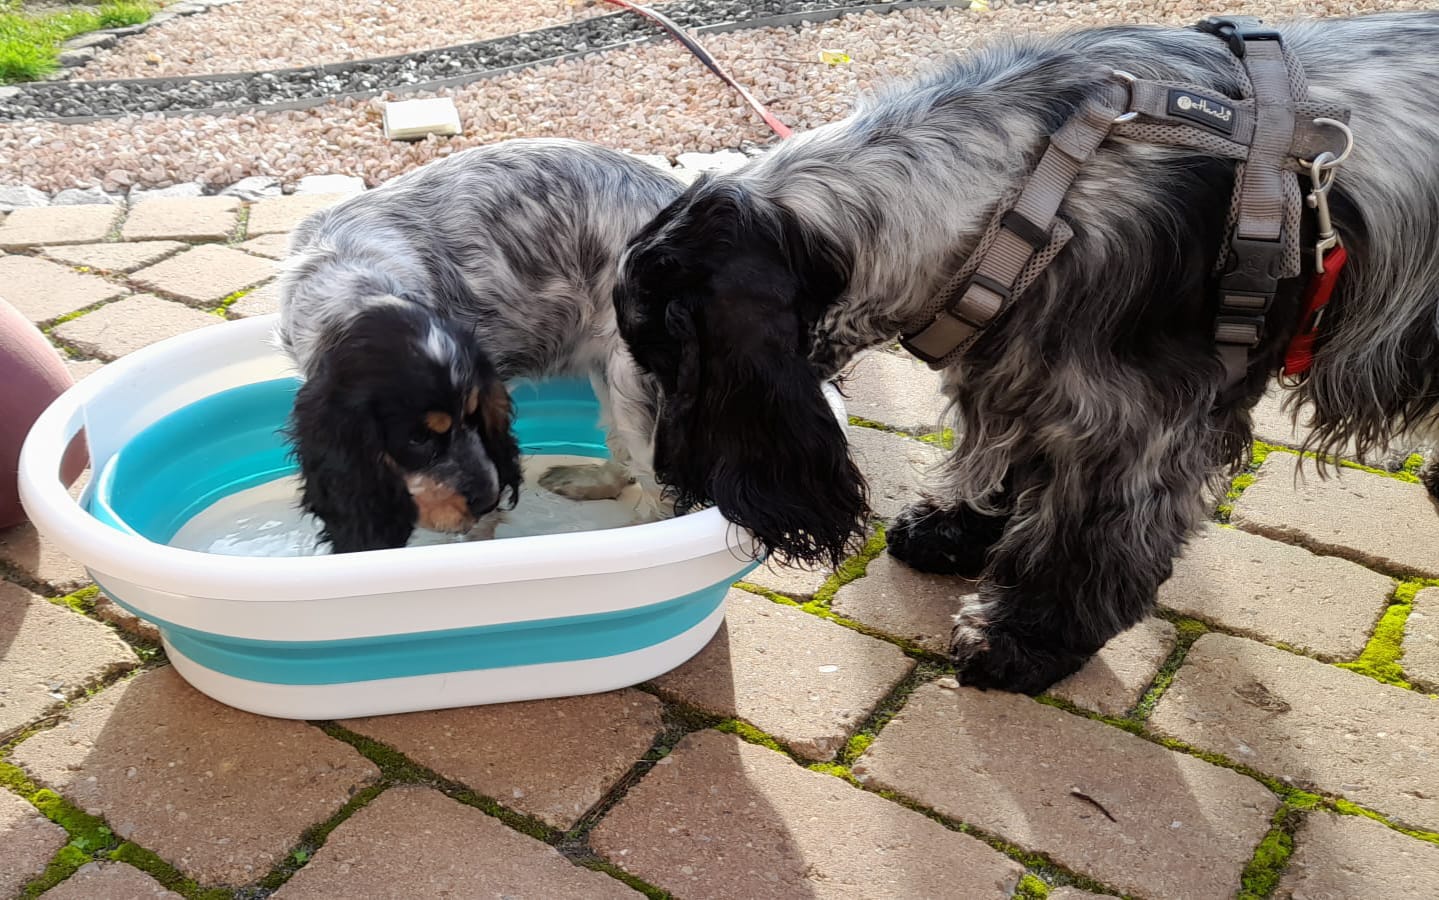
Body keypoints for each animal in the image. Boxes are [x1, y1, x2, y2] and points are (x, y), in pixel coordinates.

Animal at [277, 138, 684, 553]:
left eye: (473, 417)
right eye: (418, 438)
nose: (489, 498)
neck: (352, 280)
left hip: (633, 382)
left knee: (657, 488)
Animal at [614, 12, 1439, 693]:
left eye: (663, 352)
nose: (669, 477)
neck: (1022, 193)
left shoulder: (1133, 420)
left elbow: (1088, 535)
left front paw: (1024, 637)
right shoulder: (1025, 366)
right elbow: (1011, 461)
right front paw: (954, 530)